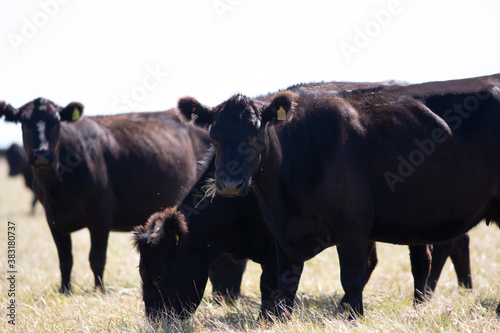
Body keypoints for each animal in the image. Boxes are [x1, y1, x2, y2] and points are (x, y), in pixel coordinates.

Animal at [0, 97, 214, 292]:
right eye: (24, 122)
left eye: (56, 121)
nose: (42, 155)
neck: (56, 186)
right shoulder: (53, 220)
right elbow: (65, 260)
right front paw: (65, 290)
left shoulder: (100, 216)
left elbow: (96, 258)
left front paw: (99, 291)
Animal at [177, 74, 500, 318]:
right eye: (214, 136)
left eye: (256, 134)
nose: (230, 184)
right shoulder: (281, 233)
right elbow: (283, 284)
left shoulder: (352, 228)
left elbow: (352, 280)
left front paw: (351, 316)